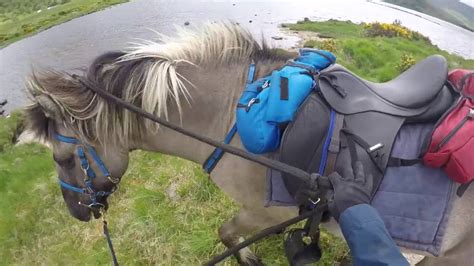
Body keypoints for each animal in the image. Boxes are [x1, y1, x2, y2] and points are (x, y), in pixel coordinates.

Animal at [25, 22, 474, 264]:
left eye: (63, 158)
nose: (77, 213)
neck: (234, 113)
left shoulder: (263, 212)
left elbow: (226, 233)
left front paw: (248, 257)